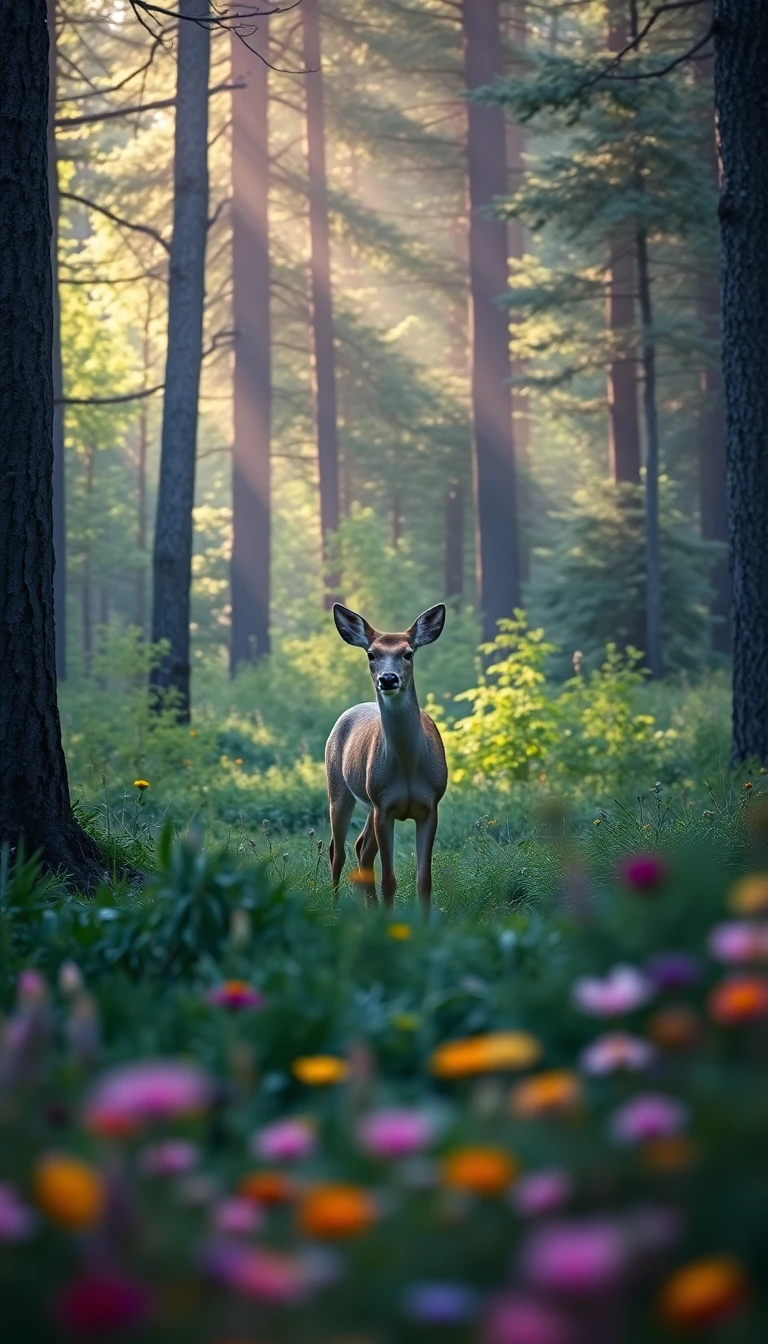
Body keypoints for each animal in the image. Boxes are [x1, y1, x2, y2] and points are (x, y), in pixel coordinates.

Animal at [325, 603, 448, 913]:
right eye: (371, 654)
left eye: (409, 652)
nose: (388, 679)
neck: (408, 768)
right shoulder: (385, 806)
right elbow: (389, 881)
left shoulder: (430, 805)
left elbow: (424, 880)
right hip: (339, 789)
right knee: (337, 850)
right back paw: (335, 905)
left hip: (369, 802)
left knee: (362, 848)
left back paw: (369, 908)